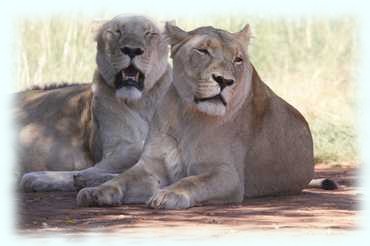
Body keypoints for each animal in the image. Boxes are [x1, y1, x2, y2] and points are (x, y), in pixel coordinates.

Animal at [76, 22, 334, 209]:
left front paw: (169, 194)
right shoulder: (151, 166)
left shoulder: (228, 174)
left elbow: (192, 180)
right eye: (203, 50)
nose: (224, 81)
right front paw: (96, 192)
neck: (187, 115)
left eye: (238, 59)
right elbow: (122, 179)